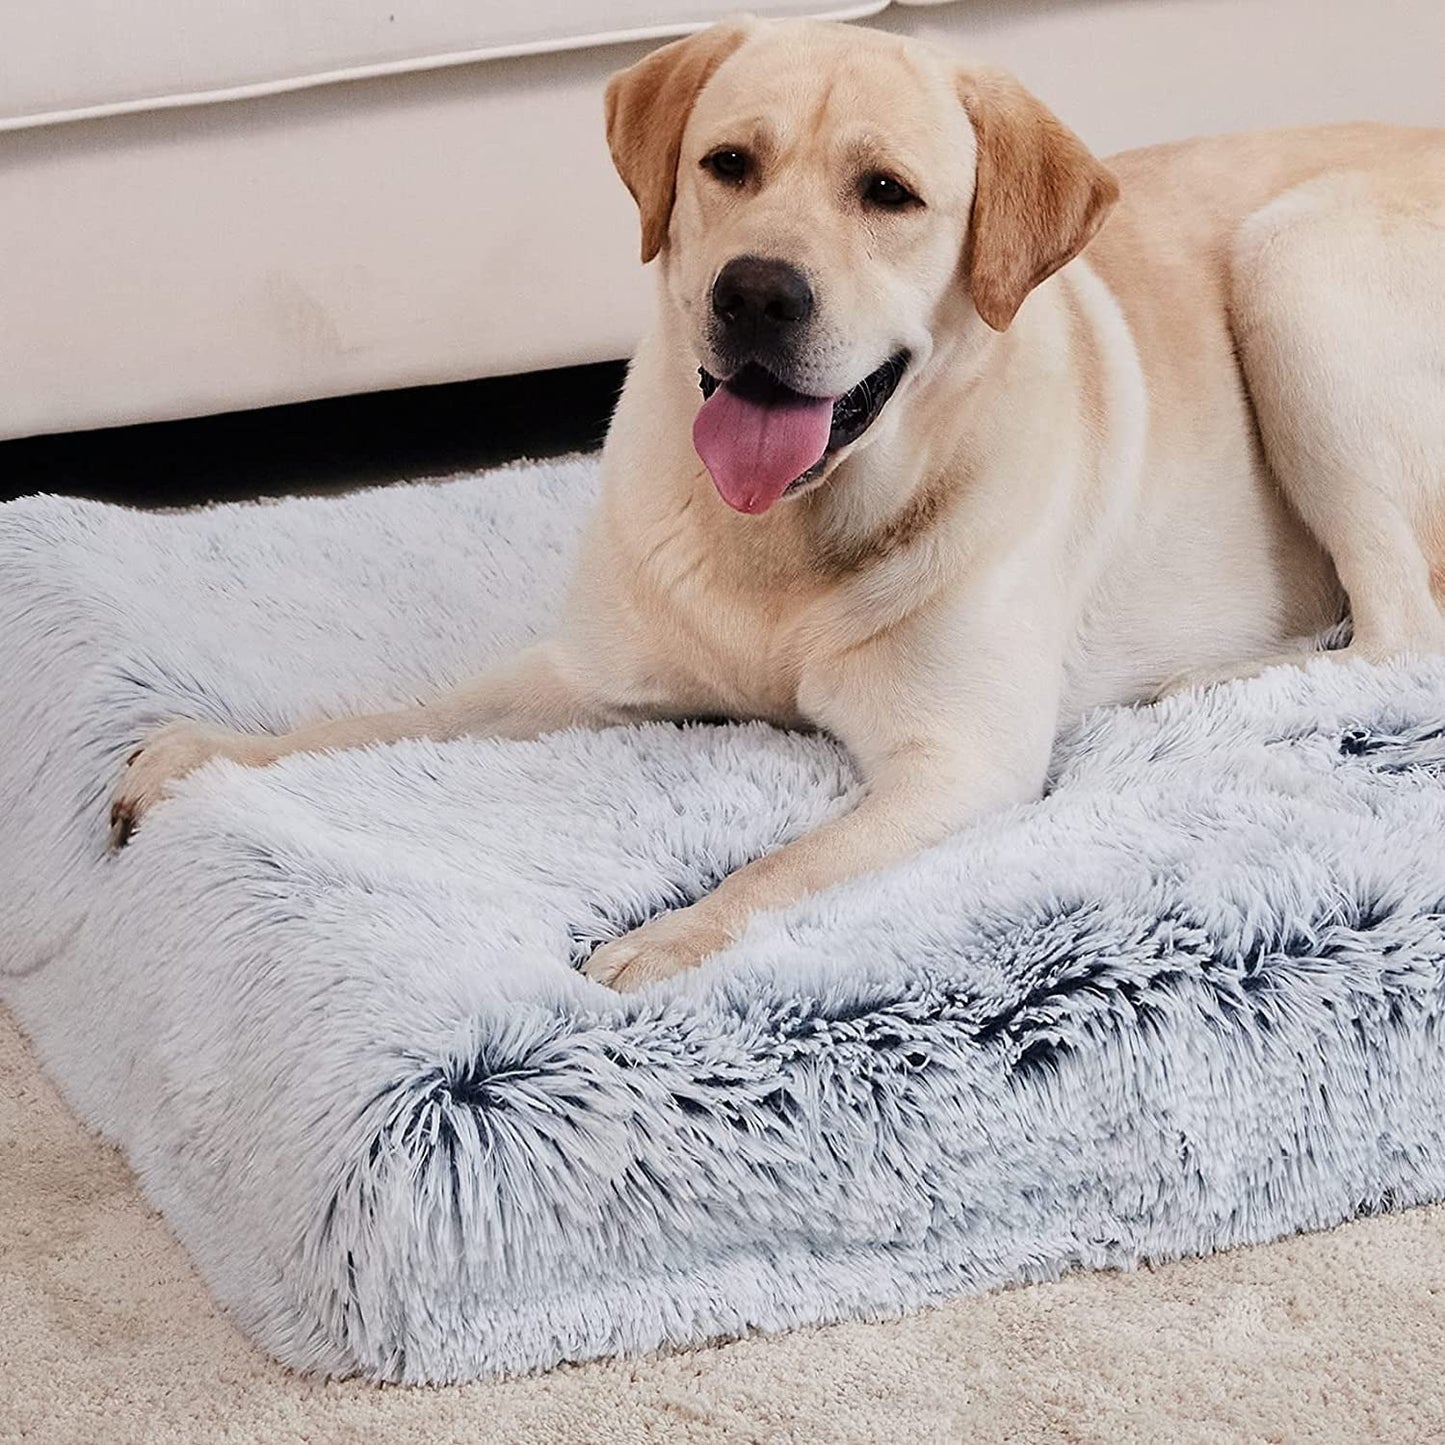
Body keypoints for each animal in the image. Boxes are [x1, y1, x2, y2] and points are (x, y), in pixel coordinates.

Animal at [115, 19, 1445, 994]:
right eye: (727, 165)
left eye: (888, 193)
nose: (755, 291)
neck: (780, 545)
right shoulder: (590, 676)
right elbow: (387, 718)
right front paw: (212, 754)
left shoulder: (953, 762)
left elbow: (779, 865)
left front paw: (664, 937)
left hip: (1294, 266)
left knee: (1394, 634)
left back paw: (1208, 683)